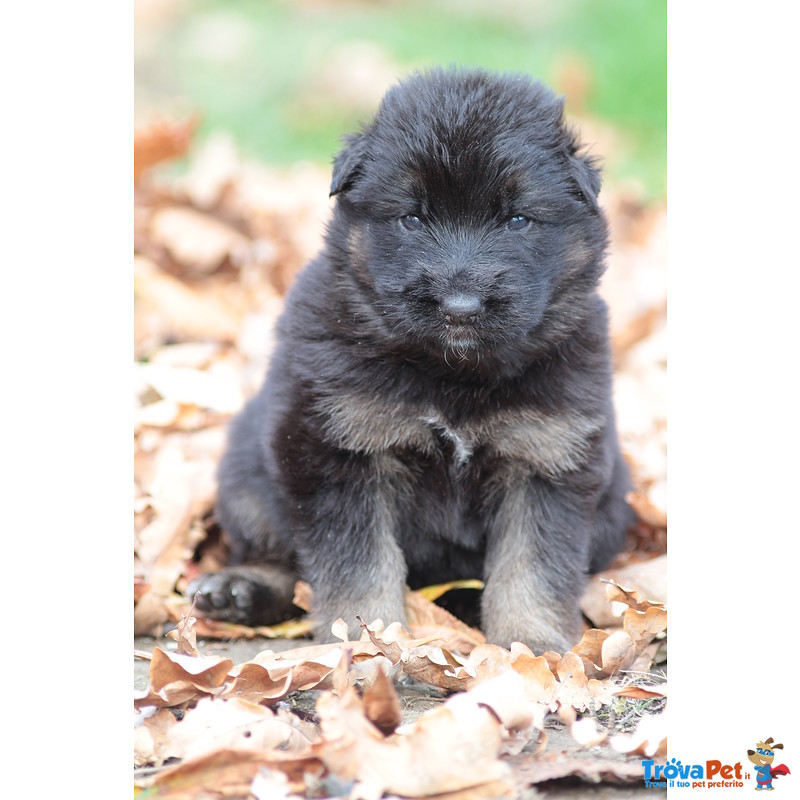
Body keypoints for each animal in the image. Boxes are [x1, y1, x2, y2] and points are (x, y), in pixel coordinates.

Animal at [191, 67, 636, 656]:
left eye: (518, 219)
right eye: (411, 217)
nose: (461, 306)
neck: (453, 374)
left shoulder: (546, 457)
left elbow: (533, 565)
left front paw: (531, 646)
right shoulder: (339, 451)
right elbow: (358, 564)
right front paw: (365, 640)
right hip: (247, 472)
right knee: (274, 550)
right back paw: (239, 589)